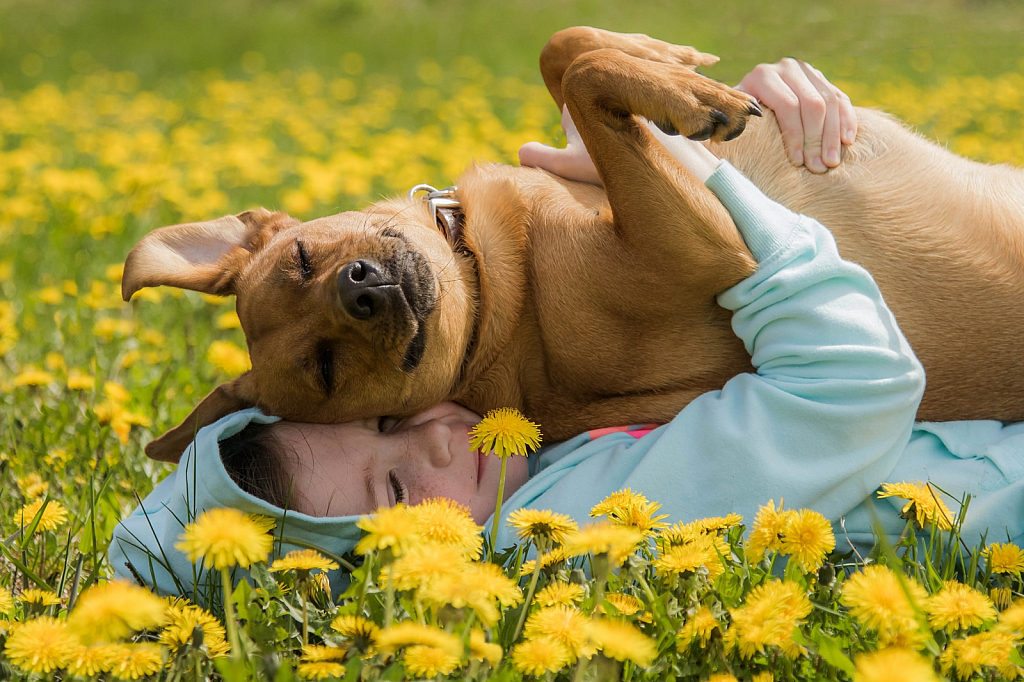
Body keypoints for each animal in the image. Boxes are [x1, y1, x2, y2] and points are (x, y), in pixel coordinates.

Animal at [125, 27, 1024, 462]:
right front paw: (690, 96)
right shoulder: (706, 250)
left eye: (303, 260)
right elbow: (589, 76)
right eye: (325, 368)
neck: (488, 283)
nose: (363, 289)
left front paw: (671, 64)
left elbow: (564, 49)